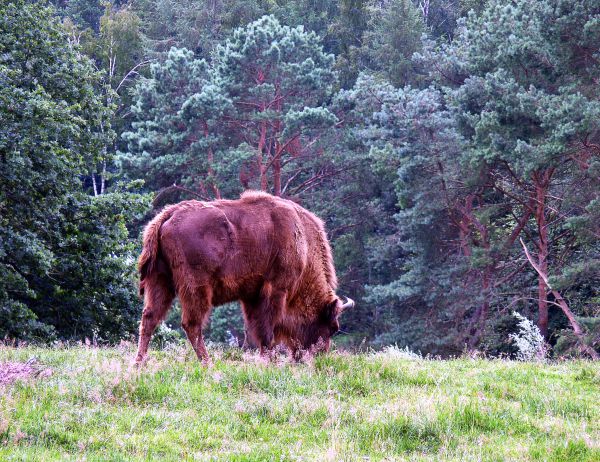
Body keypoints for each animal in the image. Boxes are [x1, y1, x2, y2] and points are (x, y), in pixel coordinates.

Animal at [135, 189, 352, 362]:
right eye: (331, 327)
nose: (319, 357)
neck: (303, 244)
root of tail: (168, 214)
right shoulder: (277, 289)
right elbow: (268, 329)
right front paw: (270, 360)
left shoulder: (252, 295)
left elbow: (258, 329)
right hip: (196, 287)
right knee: (191, 324)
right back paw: (207, 363)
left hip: (160, 280)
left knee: (149, 318)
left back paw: (140, 364)